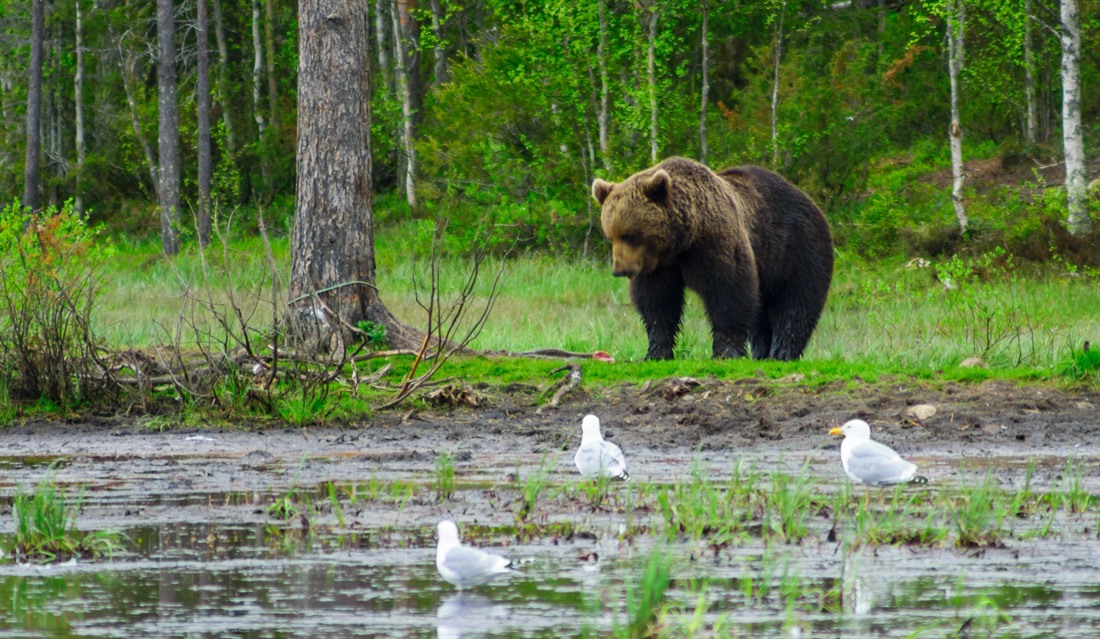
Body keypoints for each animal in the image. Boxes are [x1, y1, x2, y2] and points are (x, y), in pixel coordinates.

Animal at [594, 156, 831, 358]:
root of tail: (813, 203)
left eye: (630, 235)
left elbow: (729, 292)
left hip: (797, 250)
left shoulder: (715, 243)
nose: (620, 270)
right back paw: (762, 352)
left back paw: (782, 352)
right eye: (610, 235)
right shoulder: (659, 265)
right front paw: (656, 352)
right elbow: (657, 302)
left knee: (796, 304)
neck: (683, 240)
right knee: (763, 314)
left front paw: (727, 351)